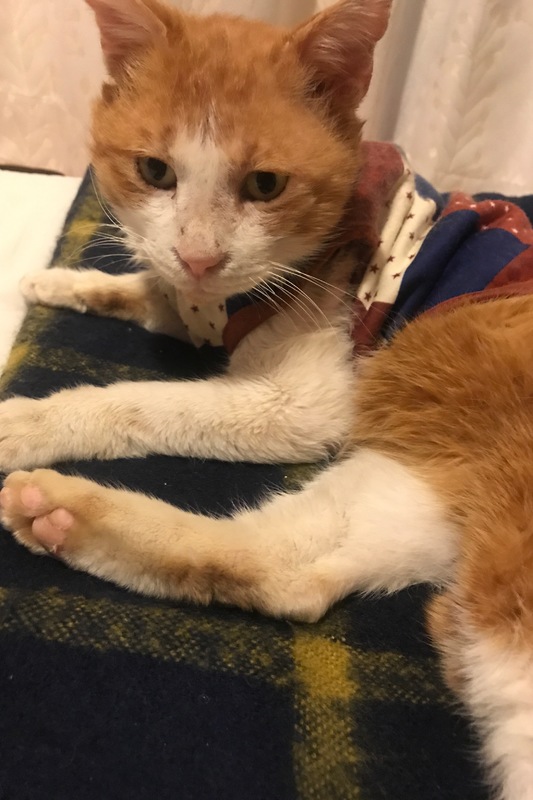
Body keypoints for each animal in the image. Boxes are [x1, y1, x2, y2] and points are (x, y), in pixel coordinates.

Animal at [1, 0, 533, 798]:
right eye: (155, 172)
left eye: (265, 185)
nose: (199, 256)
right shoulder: (198, 304)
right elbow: (150, 292)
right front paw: (64, 281)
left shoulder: (304, 403)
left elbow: (141, 401)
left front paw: (29, 417)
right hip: (417, 476)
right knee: (291, 574)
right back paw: (63, 516)